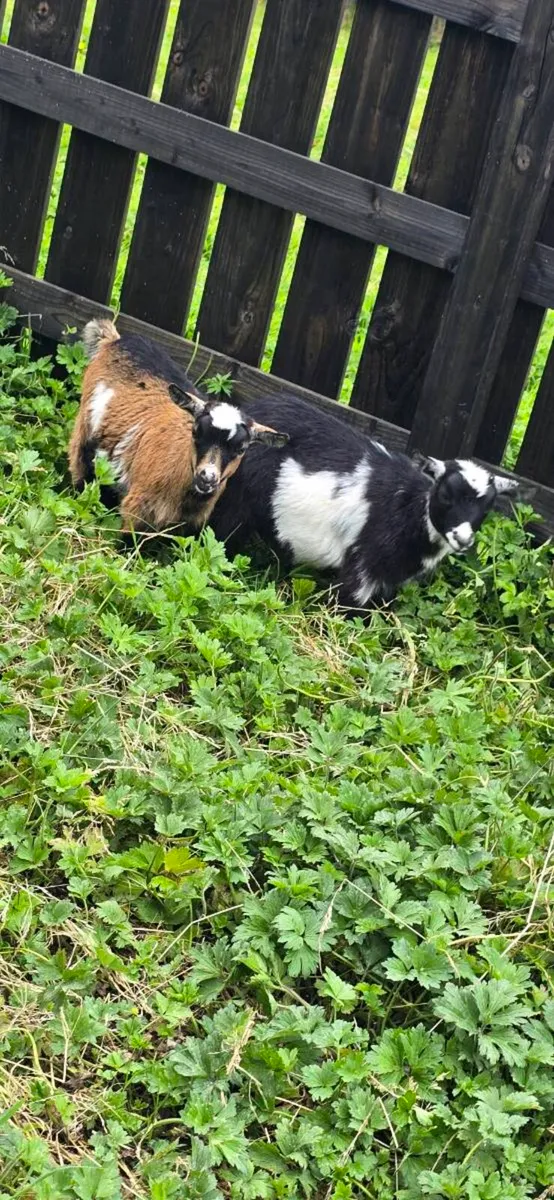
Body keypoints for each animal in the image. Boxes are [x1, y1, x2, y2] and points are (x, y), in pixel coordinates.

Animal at [68, 320, 288, 533]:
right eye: (195, 432)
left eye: (241, 449)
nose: (207, 477)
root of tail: (115, 340)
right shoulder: (137, 510)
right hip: (83, 433)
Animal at [209, 395, 521, 609]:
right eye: (445, 496)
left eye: (487, 507)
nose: (463, 538)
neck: (405, 508)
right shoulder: (363, 566)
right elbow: (350, 608)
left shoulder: (388, 580)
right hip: (235, 501)